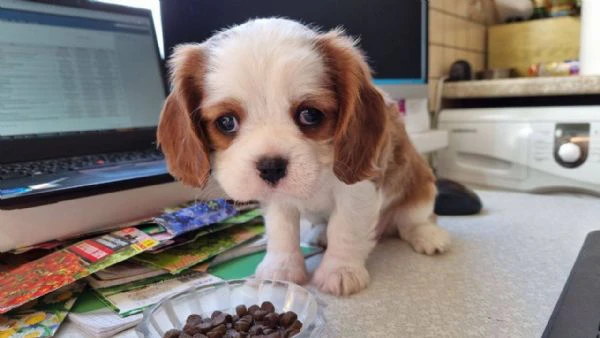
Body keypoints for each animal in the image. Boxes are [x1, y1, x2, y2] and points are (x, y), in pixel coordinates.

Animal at [157, 17, 448, 296]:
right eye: (226, 122)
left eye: (310, 114)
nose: (271, 167)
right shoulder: (276, 200)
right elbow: (281, 230)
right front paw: (281, 267)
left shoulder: (359, 189)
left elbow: (346, 228)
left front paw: (340, 270)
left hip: (421, 188)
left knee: (413, 220)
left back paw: (428, 235)